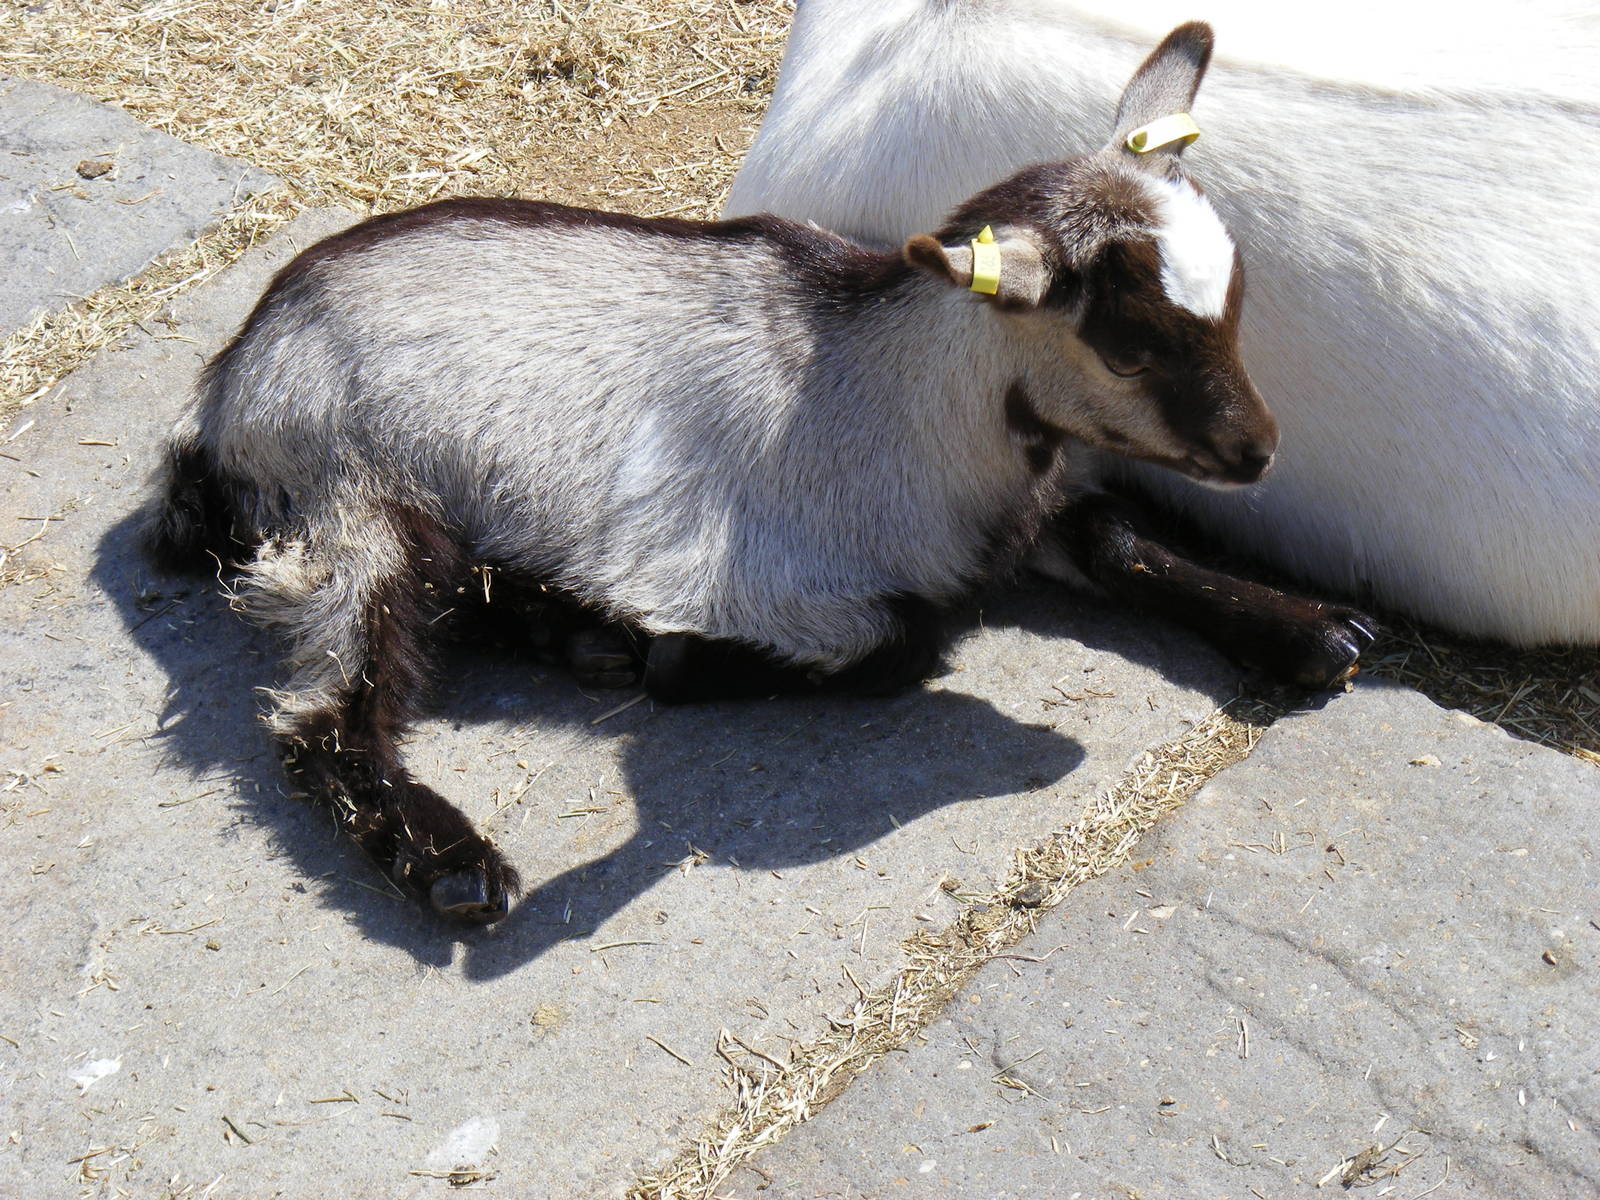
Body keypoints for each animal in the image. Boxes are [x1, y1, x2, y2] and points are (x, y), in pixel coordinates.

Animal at [146, 24, 1370, 924]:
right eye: (1128, 346)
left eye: (1235, 301)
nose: (1257, 450)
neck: (890, 397)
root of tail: (227, 379)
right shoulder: (766, 571)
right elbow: (898, 641)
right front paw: (672, 657)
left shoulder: (1026, 508)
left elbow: (1117, 538)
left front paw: (1314, 631)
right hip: (349, 497)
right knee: (323, 710)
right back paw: (455, 864)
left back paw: (563, 631)